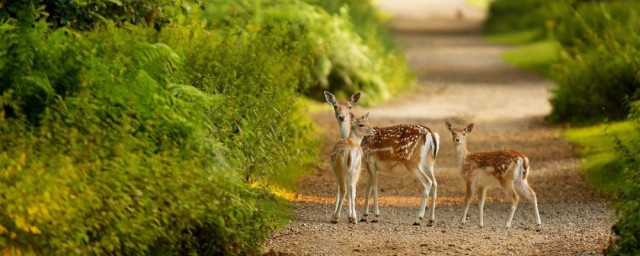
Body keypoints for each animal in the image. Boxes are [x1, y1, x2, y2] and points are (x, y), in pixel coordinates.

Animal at [324, 91, 440, 226]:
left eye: (350, 106)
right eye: (335, 106)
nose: (342, 117)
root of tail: (430, 134)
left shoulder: (370, 161)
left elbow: (373, 187)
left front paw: (375, 216)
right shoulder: (369, 166)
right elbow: (367, 188)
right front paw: (364, 216)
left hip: (412, 161)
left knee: (427, 183)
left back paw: (418, 219)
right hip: (428, 163)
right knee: (435, 183)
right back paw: (431, 220)